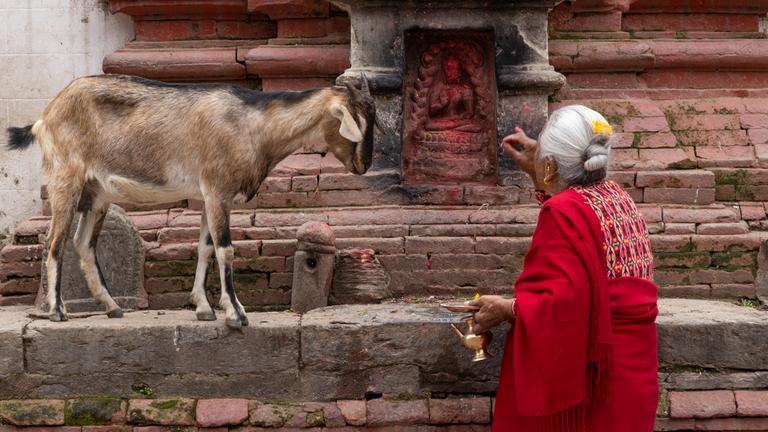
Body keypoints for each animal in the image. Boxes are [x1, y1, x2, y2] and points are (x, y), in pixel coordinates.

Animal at [6, 74, 376, 328]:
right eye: (358, 120)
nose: (365, 165)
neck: (253, 124)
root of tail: (44, 117)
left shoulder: (208, 197)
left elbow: (205, 248)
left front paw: (204, 308)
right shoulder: (217, 191)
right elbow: (226, 250)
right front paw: (236, 314)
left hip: (96, 194)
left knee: (83, 243)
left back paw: (112, 307)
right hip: (64, 179)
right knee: (54, 241)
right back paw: (57, 311)